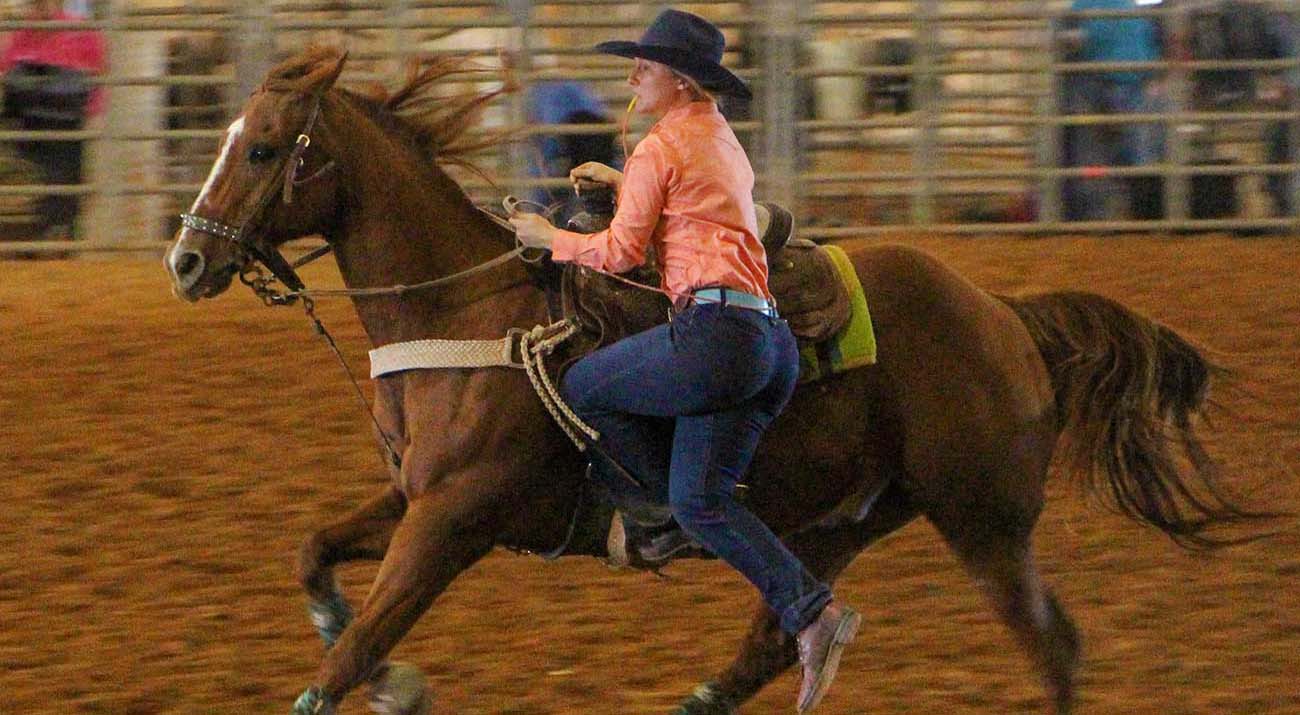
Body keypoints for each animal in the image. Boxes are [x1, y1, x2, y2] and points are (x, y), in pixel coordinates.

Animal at [165, 47, 1268, 712]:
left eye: (264, 149)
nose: (185, 259)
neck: (470, 316)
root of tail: (1004, 314)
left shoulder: (453, 520)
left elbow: (345, 656)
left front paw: (379, 671)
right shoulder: (414, 495)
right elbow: (314, 555)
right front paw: (395, 674)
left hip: (982, 520)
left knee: (1048, 643)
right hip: (841, 518)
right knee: (787, 632)